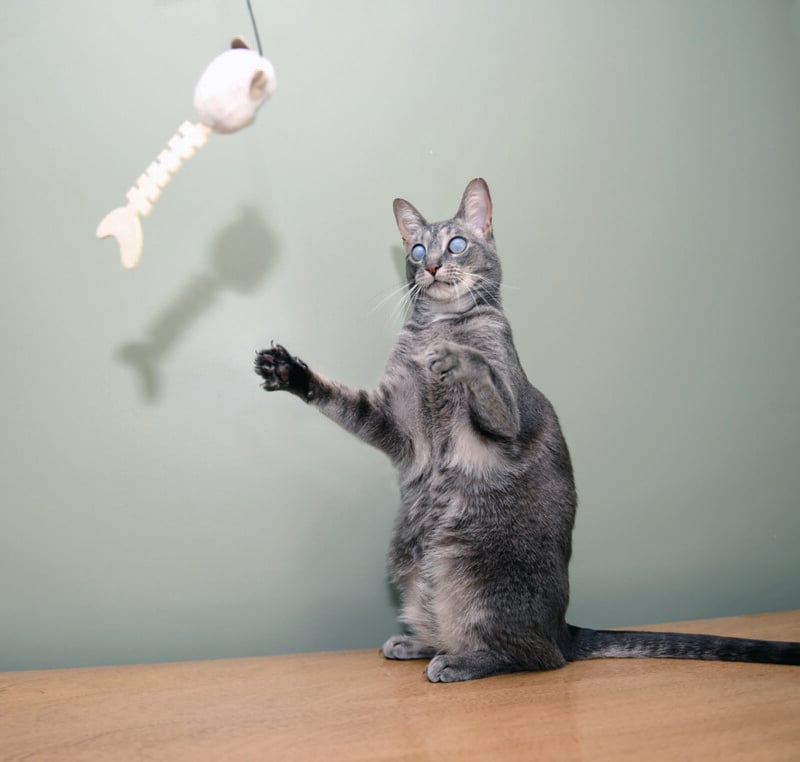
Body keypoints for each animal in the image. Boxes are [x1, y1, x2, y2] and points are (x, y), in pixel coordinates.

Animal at [256, 180, 800, 684]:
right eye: (417, 250)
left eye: (456, 244)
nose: (430, 266)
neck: (438, 326)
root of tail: (564, 626)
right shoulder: (394, 423)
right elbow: (340, 398)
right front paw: (289, 372)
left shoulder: (508, 419)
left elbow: (485, 374)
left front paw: (458, 357)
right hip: (415, 570)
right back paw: (418, 643)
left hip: (479, 573)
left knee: (537, 656)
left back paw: (458, 661)